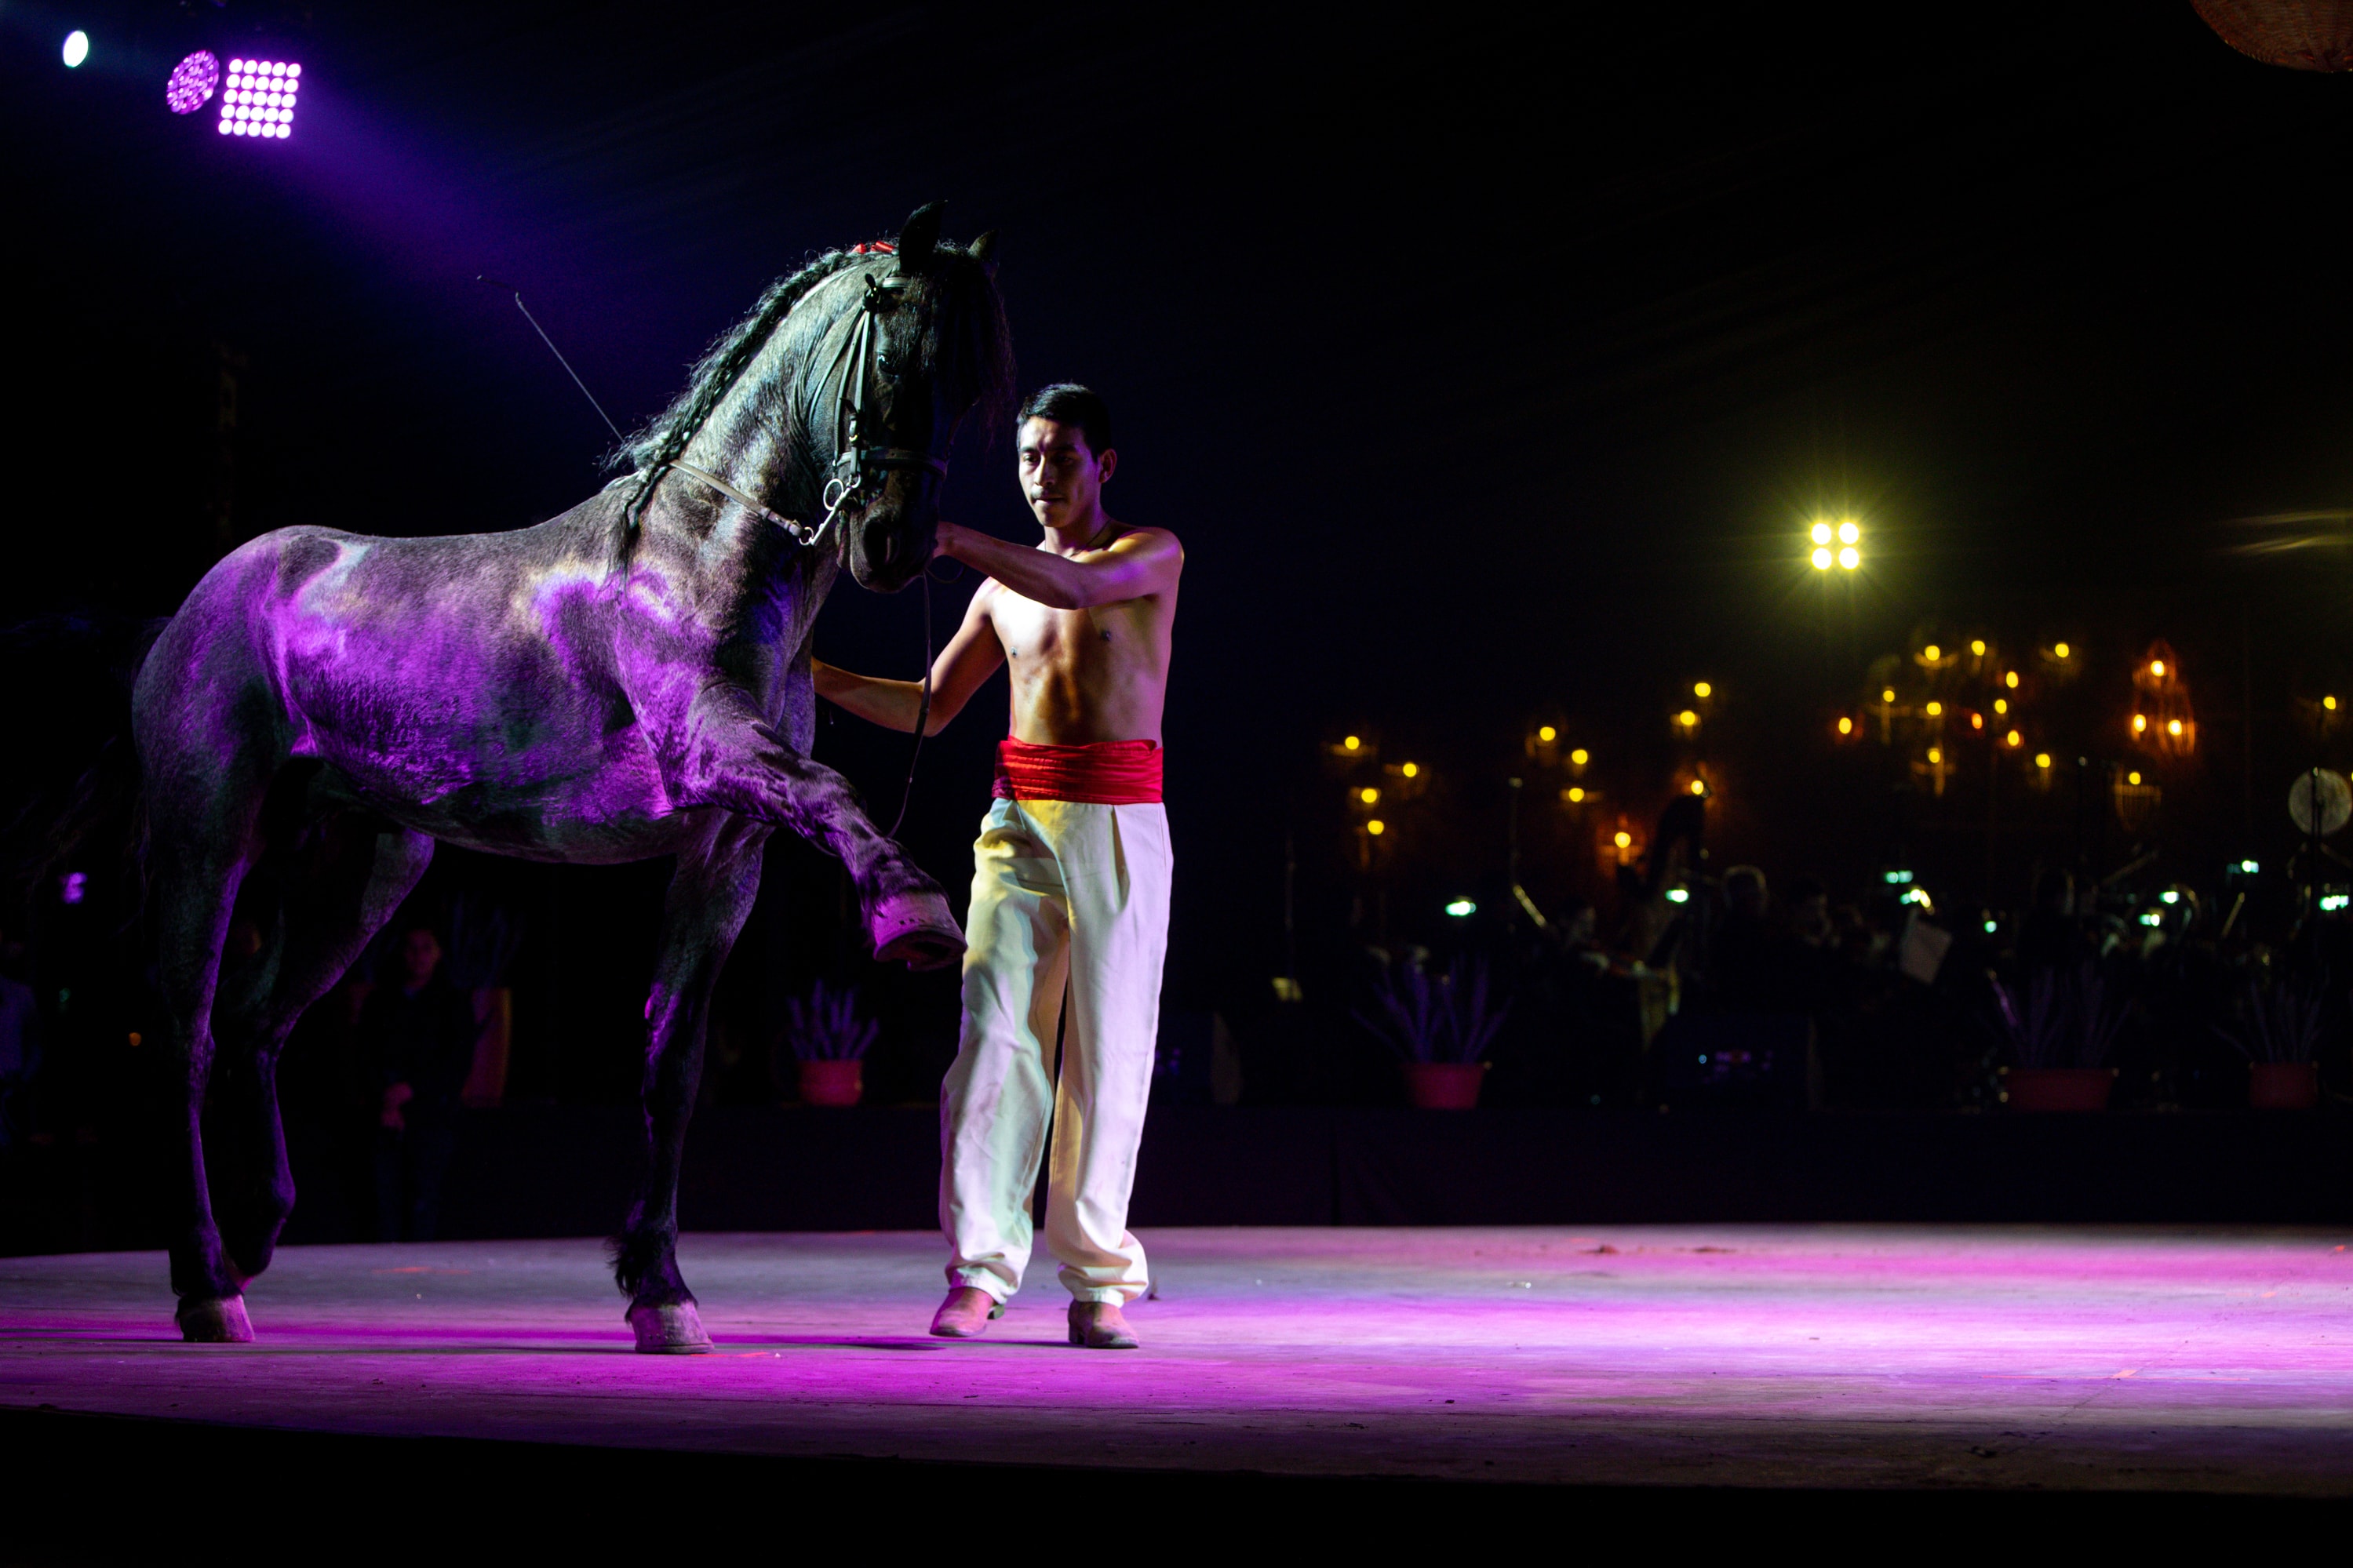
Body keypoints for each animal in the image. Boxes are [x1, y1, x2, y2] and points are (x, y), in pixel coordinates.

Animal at [127, 202, 1012, 1350]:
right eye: (894, 358)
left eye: (967, 387)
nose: (894, 545)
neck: (693, 555)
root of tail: (192, 606)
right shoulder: (713, 751)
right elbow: (830, 791)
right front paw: (911, 911)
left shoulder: (725, 851)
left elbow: (672, 1067)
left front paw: (661, 1289)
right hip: (206, 839)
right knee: (183, 1032)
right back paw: (203, 1279)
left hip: (362, 868)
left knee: (253, 1021)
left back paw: (252, 1236)